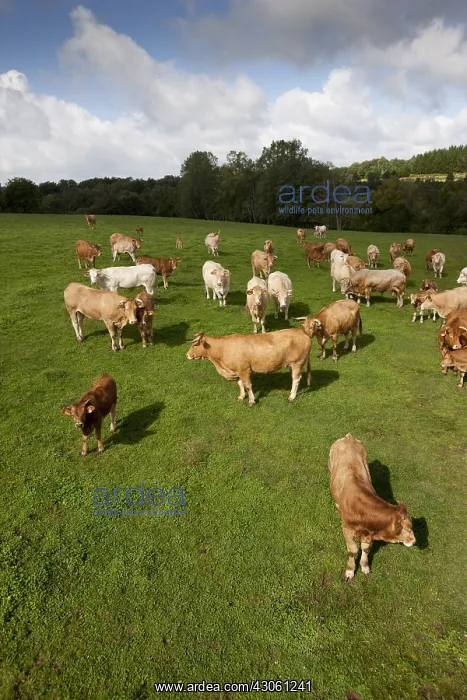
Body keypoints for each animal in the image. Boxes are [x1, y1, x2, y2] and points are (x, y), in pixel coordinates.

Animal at [328, 433, 415, 580]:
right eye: (408, 528)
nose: (414, 542)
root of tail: (348, 437)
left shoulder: (368, 534)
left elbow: (365, 549)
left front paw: (365, 567)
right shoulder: (347, 529)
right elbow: (353, 550)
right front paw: (350, 571)